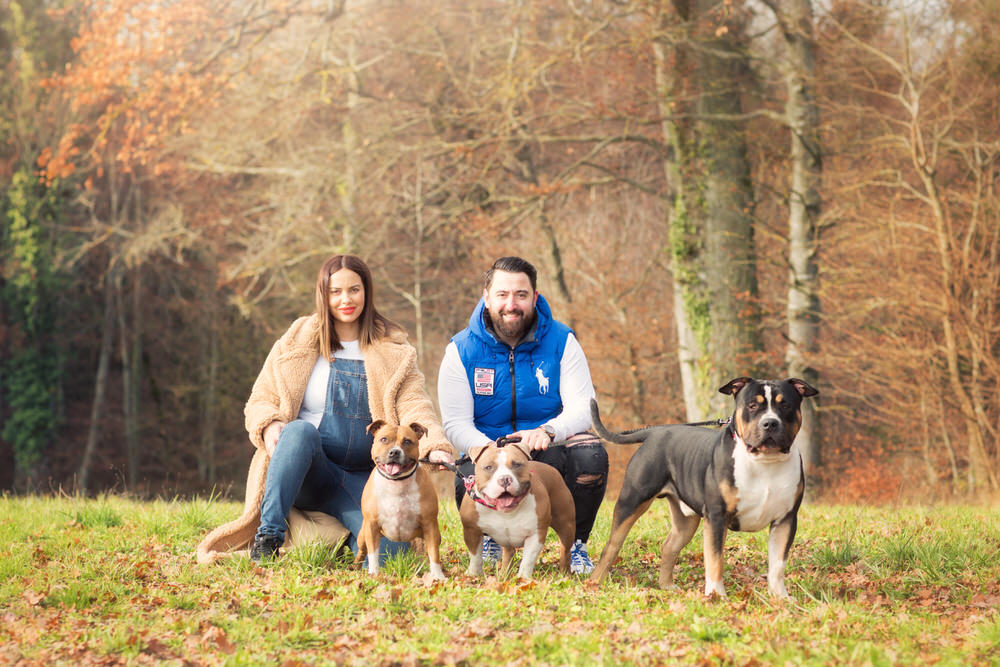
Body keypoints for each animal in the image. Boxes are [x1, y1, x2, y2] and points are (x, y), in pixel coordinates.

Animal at [354, 422, 444, 580]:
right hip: (363, 535)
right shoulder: (371, 526)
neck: (396, 483)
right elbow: (373, 554)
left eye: (407, 441)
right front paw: (374, 573)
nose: (394, 452)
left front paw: (438, 576)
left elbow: (434, 554)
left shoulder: (430, 525)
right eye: (384, 439)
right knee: (362, 552)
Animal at [458, 438, 576, 580]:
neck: (505, 513)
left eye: (517, 465)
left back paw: (565, 574)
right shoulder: (471, 530)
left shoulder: (536, 534)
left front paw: (523, 578)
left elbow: (528, 560)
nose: (504, 479)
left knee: (566, 550)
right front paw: (473, 574)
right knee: (508, 552)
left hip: (566, 525)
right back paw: (503, 574)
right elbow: (475, 556)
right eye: (488, 467)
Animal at [588, 376, 816, 600]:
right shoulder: (717, 516)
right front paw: (716, 596)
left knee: (669, 546)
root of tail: (655, 431)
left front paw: (780, 597)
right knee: (612, 545)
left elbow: (778, 563)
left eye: (785, 405)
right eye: (752, 406)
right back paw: (595, 583)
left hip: (685, 521)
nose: (770, 423)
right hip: (631, 501)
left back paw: (666, 586)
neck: (764, 462)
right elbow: (715, 559)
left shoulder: (785, 519)